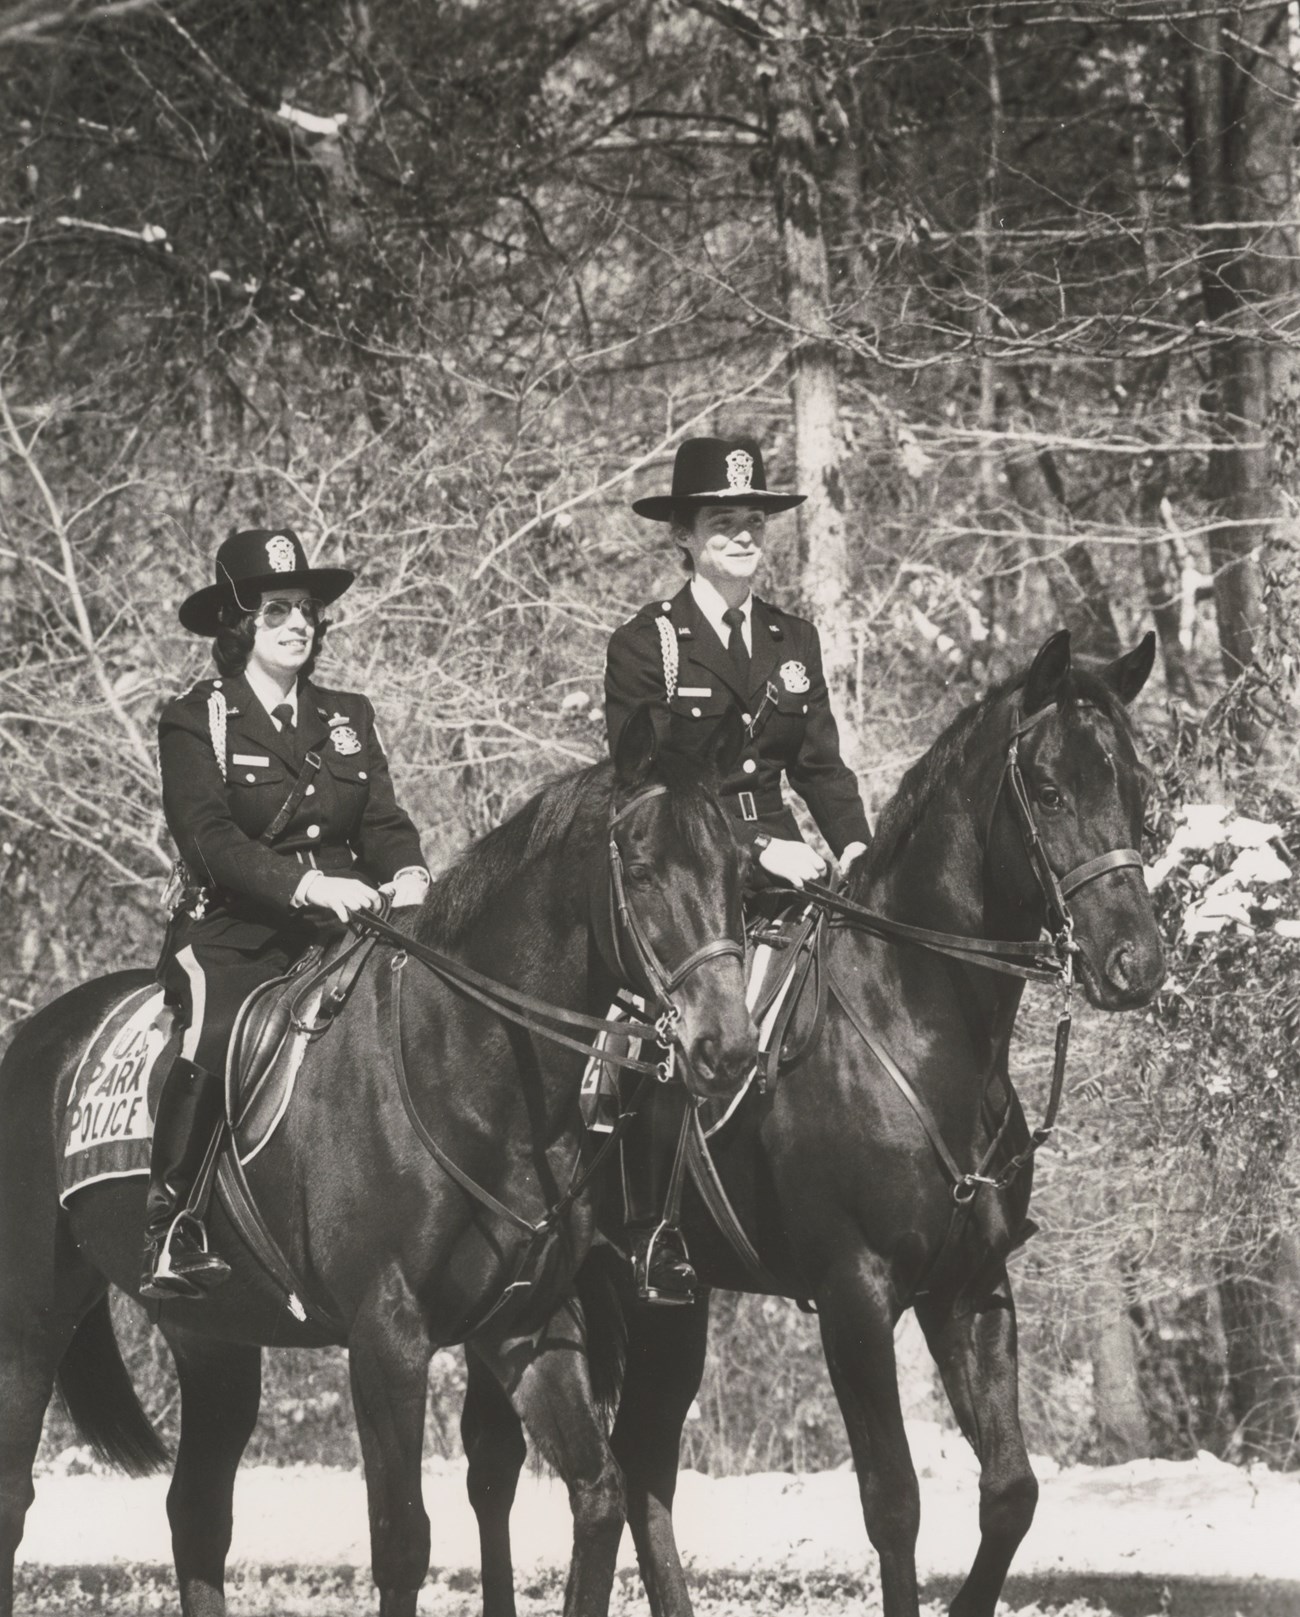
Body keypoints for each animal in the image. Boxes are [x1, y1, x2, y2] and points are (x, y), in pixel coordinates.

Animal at [0, 714, 756, 1617]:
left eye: (738, 871)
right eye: (639, 871)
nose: (726, 1047)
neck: (467, 1062)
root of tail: (34, 1039)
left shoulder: (525, 1326)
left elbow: (600, 1492)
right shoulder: (386, 1336)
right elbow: (402, 1539)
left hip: (213, 1337)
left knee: (197, 1513)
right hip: (30, 1321)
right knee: (16, 1497)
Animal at [459, 630, 1170, 1617]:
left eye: (1136, 787)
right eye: (1052, 787)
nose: (1135, 963)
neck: (919, 1023)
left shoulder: (970, 1285)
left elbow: (1010, 1491)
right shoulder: (855, 1293)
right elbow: (895, 1502)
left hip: (664, 1301)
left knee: (641, 1464)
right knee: (498, 1466)